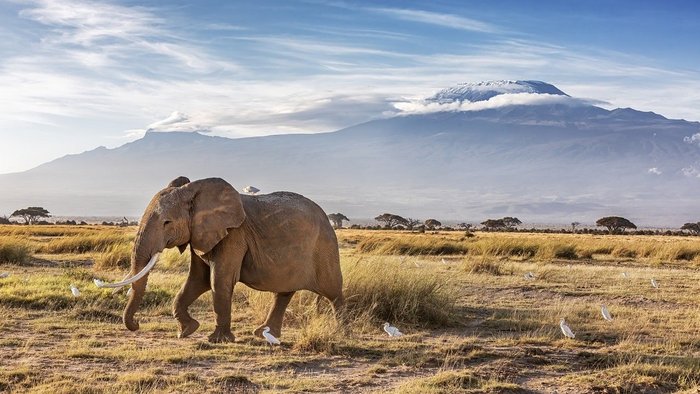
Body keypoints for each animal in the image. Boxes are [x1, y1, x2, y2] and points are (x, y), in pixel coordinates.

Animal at [98, 177, 344, 344]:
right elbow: (197, 280)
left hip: (325, 246)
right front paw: (186, 331)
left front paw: (217, 340)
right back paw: (263, 334)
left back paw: (341, 331)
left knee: (333, 291)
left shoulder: (233, 235)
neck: (195, 192)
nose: (137, 324)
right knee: (283, 292)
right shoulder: (200, 235)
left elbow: (219, 280)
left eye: (167, 222)